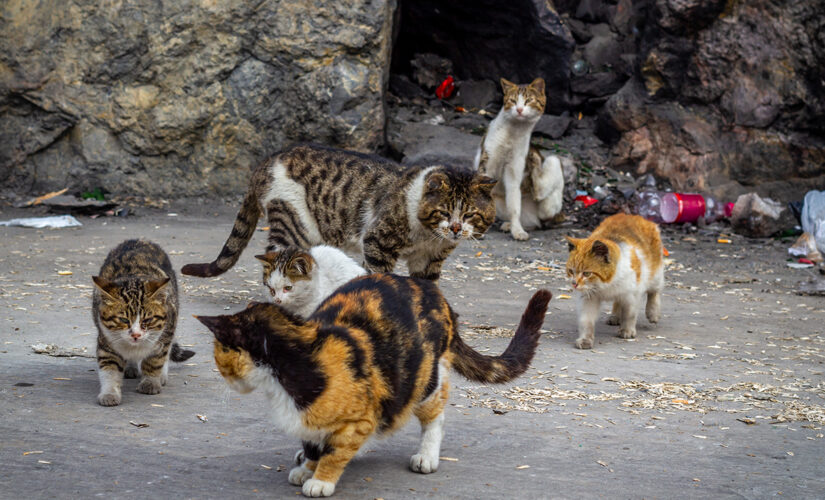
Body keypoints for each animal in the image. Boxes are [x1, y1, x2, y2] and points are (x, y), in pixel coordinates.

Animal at [92, 239, 196, 406]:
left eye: (147, 320)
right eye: (123, 320)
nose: (136, 334)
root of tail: (139, 240)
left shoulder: (166, 331)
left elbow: (155, 359)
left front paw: (151, 382)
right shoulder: (106, 339)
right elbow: (110, 368)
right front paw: (110, 393)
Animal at [182, 144, 496, 282]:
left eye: (469, 215)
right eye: (443, 211)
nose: (455, 228)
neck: (428, 238)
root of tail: (268, 160)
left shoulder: (429, 261)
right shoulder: (378, 243)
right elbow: (380, 274)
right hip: (294, 223)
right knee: (274, 258)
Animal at [196, 276, 552, 498]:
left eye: (219, 355)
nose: (225, 377)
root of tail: (436, 294)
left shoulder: (358, 417)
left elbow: (336, 451)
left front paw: (321, 479)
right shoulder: (308, 419)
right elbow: (312, 442)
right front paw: (307, 465)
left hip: (423, 378)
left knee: (434, 416)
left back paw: (426, 455)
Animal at [474, 77, 564, 241]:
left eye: (528, 100)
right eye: (513, 101)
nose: (519, 110)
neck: (513, 131)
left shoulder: (514, 170)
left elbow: (514, 205)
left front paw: (517, 230)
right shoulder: (486, 165)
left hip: (553, 161)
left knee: (540, 201)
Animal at [568, 213, 664, 350]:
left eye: (587, 273)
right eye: (571, 271)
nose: (574, 283)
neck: (605, 286)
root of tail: (632, 215)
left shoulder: (632, 295)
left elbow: (629, 314)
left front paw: (627, 330)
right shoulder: (589, 299)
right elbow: (586, 321)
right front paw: (585, 339)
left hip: (655, 274)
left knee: (654, 292)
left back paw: (653, 313)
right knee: (618, 301)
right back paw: (615, 317)